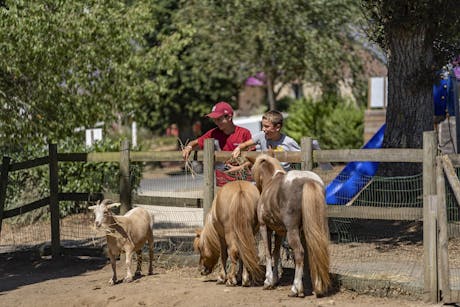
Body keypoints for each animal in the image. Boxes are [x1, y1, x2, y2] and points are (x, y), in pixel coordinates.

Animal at [250, 155, 328, 298]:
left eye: (252, 169)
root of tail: (307, 180)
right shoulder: (279, 231)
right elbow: (276, 254)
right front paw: (275, 280)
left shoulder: (265, 227)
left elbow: (268, 253)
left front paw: (268, 281)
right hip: (311, 230)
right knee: (313, 252)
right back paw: (316, 287)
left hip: (292, 231)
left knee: (300, 253)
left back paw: (296, 289)